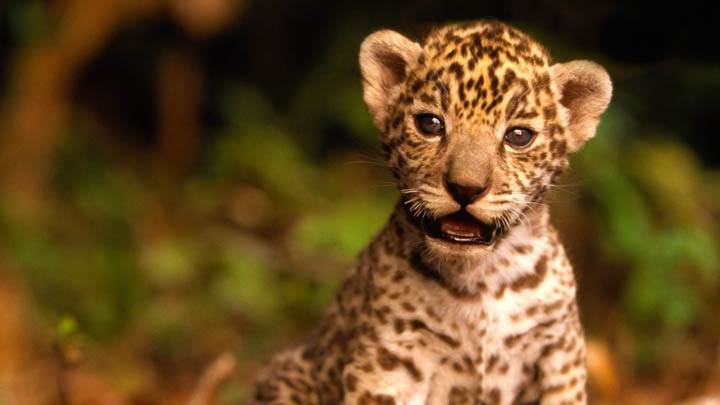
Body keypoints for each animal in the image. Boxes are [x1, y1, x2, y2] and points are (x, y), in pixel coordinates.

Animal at [252, 20, 612, 405]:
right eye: (430, 124)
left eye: (518, 136)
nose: (465, 188)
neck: (480, 279)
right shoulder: (389, 359)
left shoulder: (560, 353)